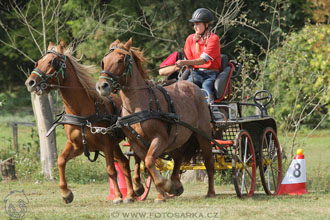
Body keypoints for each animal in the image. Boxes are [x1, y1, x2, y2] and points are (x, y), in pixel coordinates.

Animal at [24, 40, 137, 204]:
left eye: (52, 62)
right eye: (38, 62)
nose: (30, 82)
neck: (82, 113)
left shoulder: (106, 144)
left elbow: (110, 170)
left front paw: (116, 196)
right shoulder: (76, 145)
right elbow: (61, 161)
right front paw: (66, 194)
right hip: (115, 144)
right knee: (124, 163)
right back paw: (131, 194)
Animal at [96, 37, 214, 201]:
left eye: (120, 60)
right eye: (104, 60)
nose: (102, 86)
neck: (138, 105)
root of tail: (193, 86)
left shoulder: (160, 139)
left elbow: (150, 160)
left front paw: (164, 186)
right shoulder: (136, 143)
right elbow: (147, 163)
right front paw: (159, 193)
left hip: (202, 134)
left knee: (209, 161)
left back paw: (210, 192)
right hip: (175, 139)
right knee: (178, 157)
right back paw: (176, 184)